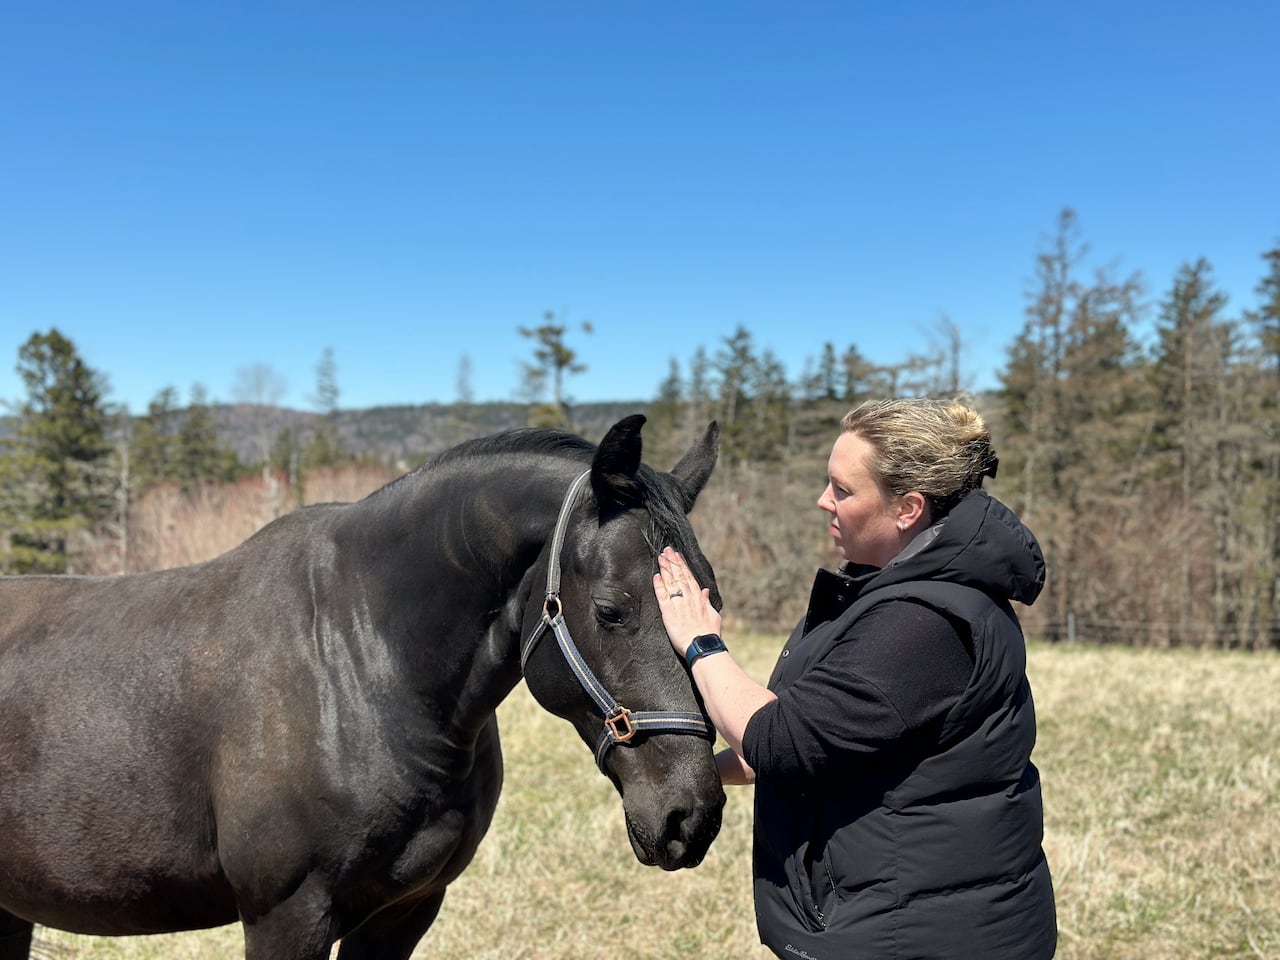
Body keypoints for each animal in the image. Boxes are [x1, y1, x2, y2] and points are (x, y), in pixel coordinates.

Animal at [0, 414, 726, 960]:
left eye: (712, 604)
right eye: (610, 610)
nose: (691, 815)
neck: (356, 667)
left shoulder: (405, 911)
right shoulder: (286, 917)